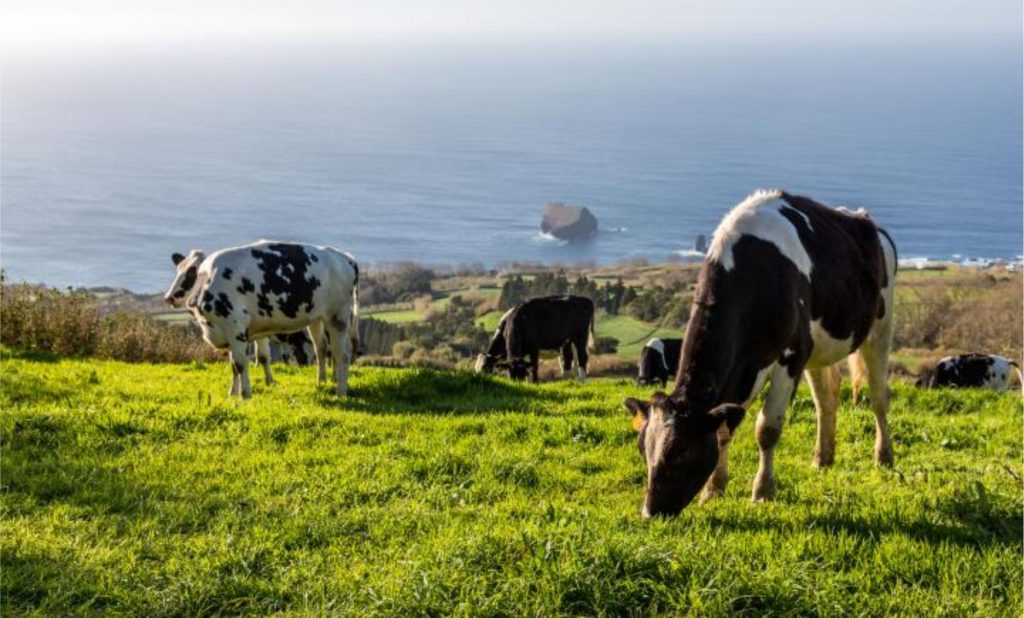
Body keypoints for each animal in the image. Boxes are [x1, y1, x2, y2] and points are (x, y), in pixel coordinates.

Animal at [163, 239, 360, 399]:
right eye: (179, 269)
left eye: (191, 273)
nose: (168, 297)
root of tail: (346, 258)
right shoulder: (229, 333)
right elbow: (233, 365)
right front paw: (232, 393)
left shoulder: (236, 326)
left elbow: (241, 364)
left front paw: (245, 395)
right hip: (318, 318)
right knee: (322, 348)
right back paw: (321, 382)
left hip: (338, 317)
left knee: (341, 354)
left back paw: (341, 391)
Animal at [622, 190, 897, 519]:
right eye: (642, 448)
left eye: (680, 452)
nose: (650, 512)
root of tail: (864, 219)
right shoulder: (746, 368)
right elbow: (725, 429)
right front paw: (713, 490)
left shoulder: (791, 354)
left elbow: (767, 428)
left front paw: (763, 491)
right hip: (819, 347)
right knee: (826, 398)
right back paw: (823, 458)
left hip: (880, 327)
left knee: (879, 397)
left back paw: (884, 457)